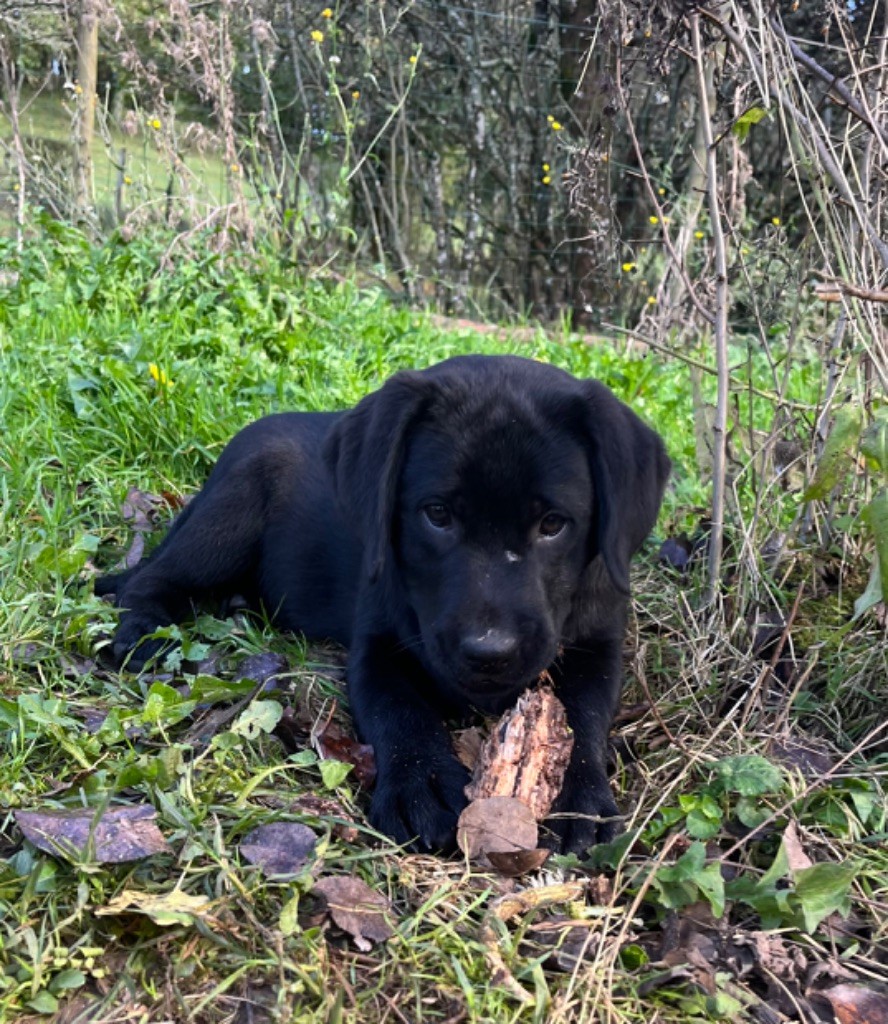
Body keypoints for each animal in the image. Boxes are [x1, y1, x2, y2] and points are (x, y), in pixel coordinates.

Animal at [97, 356, 671, 851]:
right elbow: (398, 708)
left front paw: (581, 799)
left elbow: (583, 717)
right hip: (229, 516)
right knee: (151, 579)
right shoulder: (377, 646)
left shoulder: (598, 647)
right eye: (437, 514)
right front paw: (423, 782)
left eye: (553, 524)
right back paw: (145, 634)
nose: (489, 653)